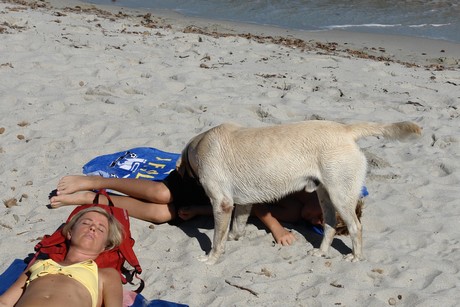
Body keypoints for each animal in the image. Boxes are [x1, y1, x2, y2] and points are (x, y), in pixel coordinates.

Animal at [179, 120, 420, 264]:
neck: (198, 146)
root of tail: (345, 129)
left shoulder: (222, 203)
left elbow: (216, 239)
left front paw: (211, 258)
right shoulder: (243, 203)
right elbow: (235, 227)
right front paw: (233, 238)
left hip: (340, 195)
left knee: (355, 227)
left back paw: (356, 256)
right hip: (325, 195)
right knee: (330, 225)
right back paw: (321, 251)